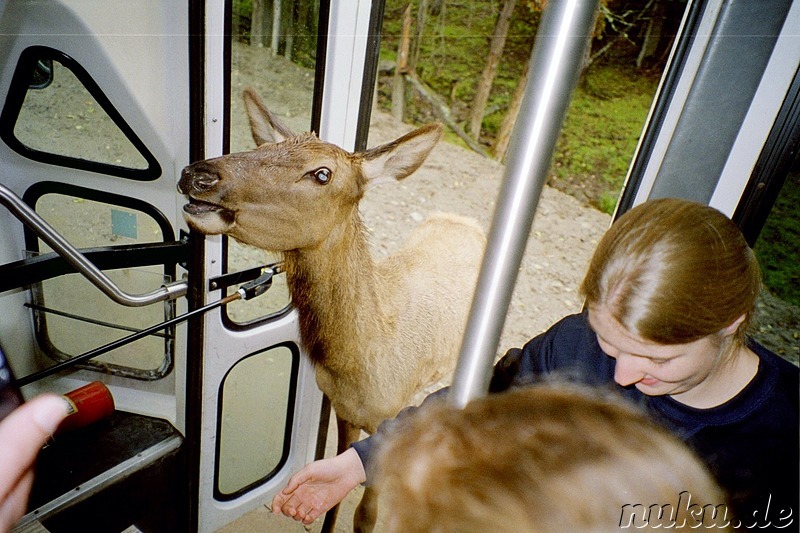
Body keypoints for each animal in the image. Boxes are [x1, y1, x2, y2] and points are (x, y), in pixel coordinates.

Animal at [178, 89, 484, 528]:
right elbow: (336, 494)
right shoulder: (343, 409)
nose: (198, 174)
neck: (359, 367)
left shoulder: (387, 420)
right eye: (263, 147)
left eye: (322, 174)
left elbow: (366, 515)